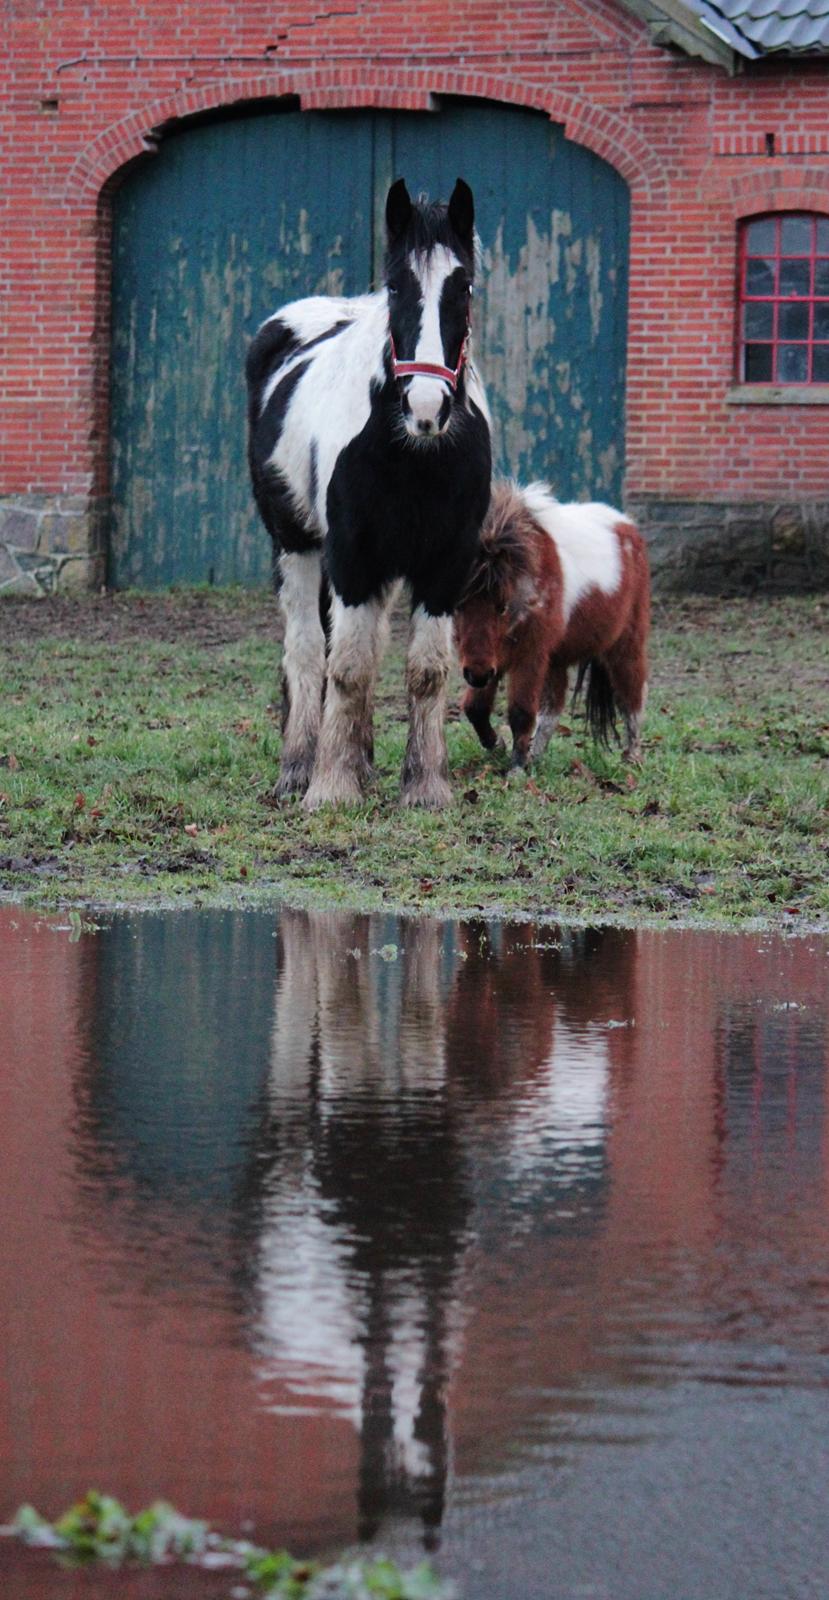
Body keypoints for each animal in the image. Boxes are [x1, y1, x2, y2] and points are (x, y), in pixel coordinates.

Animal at [246, 175, 492, 812]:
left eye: (465, 287)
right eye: (397, 286)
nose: (426, 406)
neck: (414, 452)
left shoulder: (445, 561)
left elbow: (425, 670)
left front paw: (426, 785)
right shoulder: (352, 555)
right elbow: (348, 668)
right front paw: (332, 787)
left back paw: (360, 759)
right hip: (297, 546)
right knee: (309, 651)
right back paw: (300, 767)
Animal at [457, 476, 652, 771]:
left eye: (502, 606)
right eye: (459, 605)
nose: (477, 675)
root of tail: (627, 526)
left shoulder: (530, 656)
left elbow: (521, 711)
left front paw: (516, 767)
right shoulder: (493, 659)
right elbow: (475, 708)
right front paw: (499, 746)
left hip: (626, 644)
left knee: (633, 695)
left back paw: (632, 756)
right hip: (555, 660)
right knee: (552, 710)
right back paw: (536, 756)